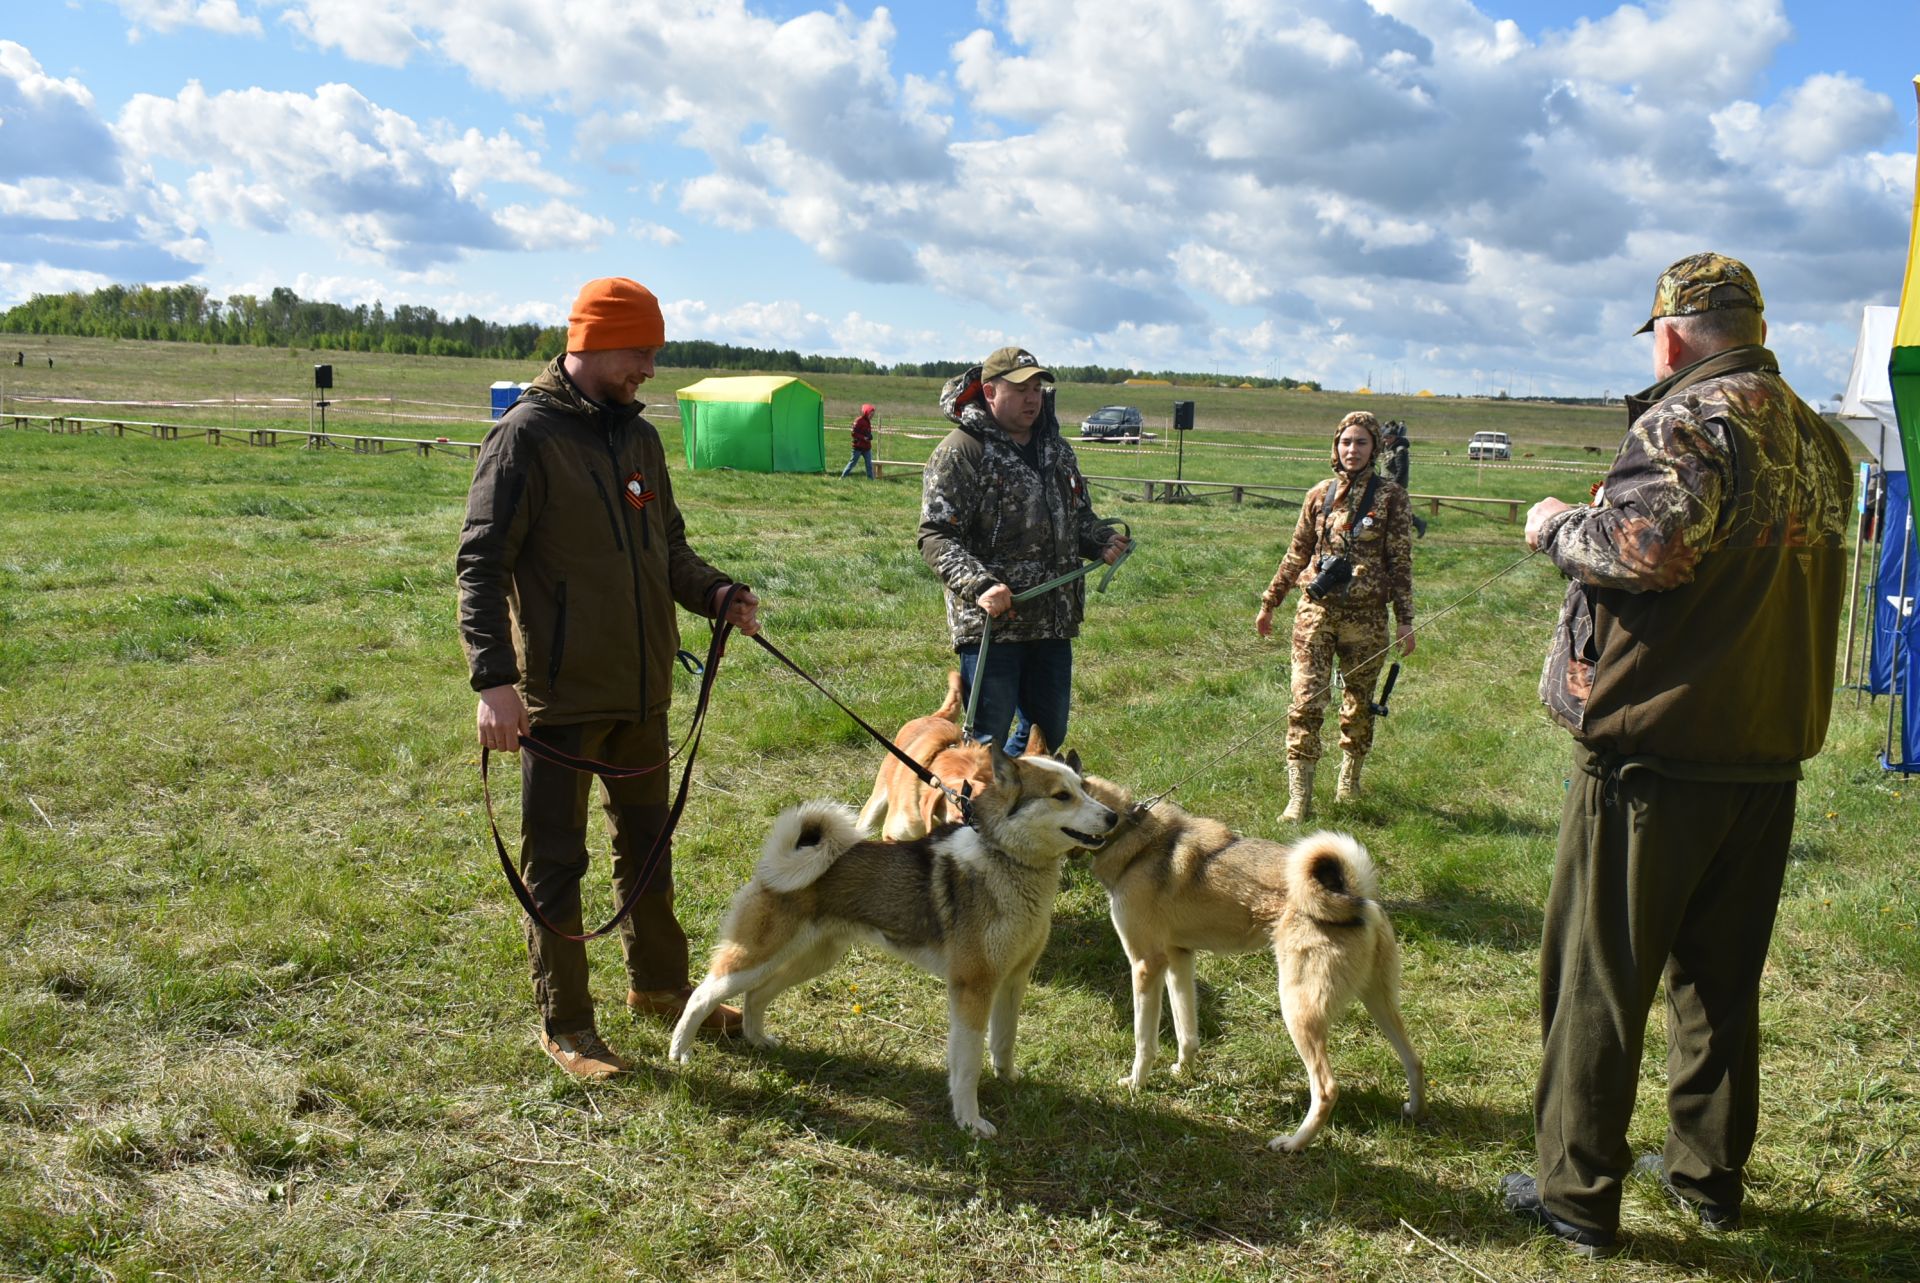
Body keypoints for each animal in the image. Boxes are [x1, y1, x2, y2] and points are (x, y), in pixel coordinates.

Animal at [675, 745, 1121, 1137]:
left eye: (1085, 787)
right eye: (1061, 796)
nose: (1114, 817)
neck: (1007, 862)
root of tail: (774, 865)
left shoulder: (1012, 980)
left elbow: (1004, 1041)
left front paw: (1009, 1078)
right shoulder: (972, 989)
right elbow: (968, 1064)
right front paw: (970, 1122)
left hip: (812, 959)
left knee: (757, 995)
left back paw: (757, 1039)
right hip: (756, 956)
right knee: (703, 993)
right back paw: (680, 1052)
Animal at [1082, 775, 1428, 1160]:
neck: (1130, 832)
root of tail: (1354, 899)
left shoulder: (1145, 966)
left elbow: (1144, 1041)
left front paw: (1135, 1084)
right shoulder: (1179, 959)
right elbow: (1187, 1032)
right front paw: (1183, 1071)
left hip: (1298, 1009)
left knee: (1326, 1088)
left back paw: (1293, 1142)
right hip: (1378, 1001)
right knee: (1414, 1061)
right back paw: (1415, 1112)